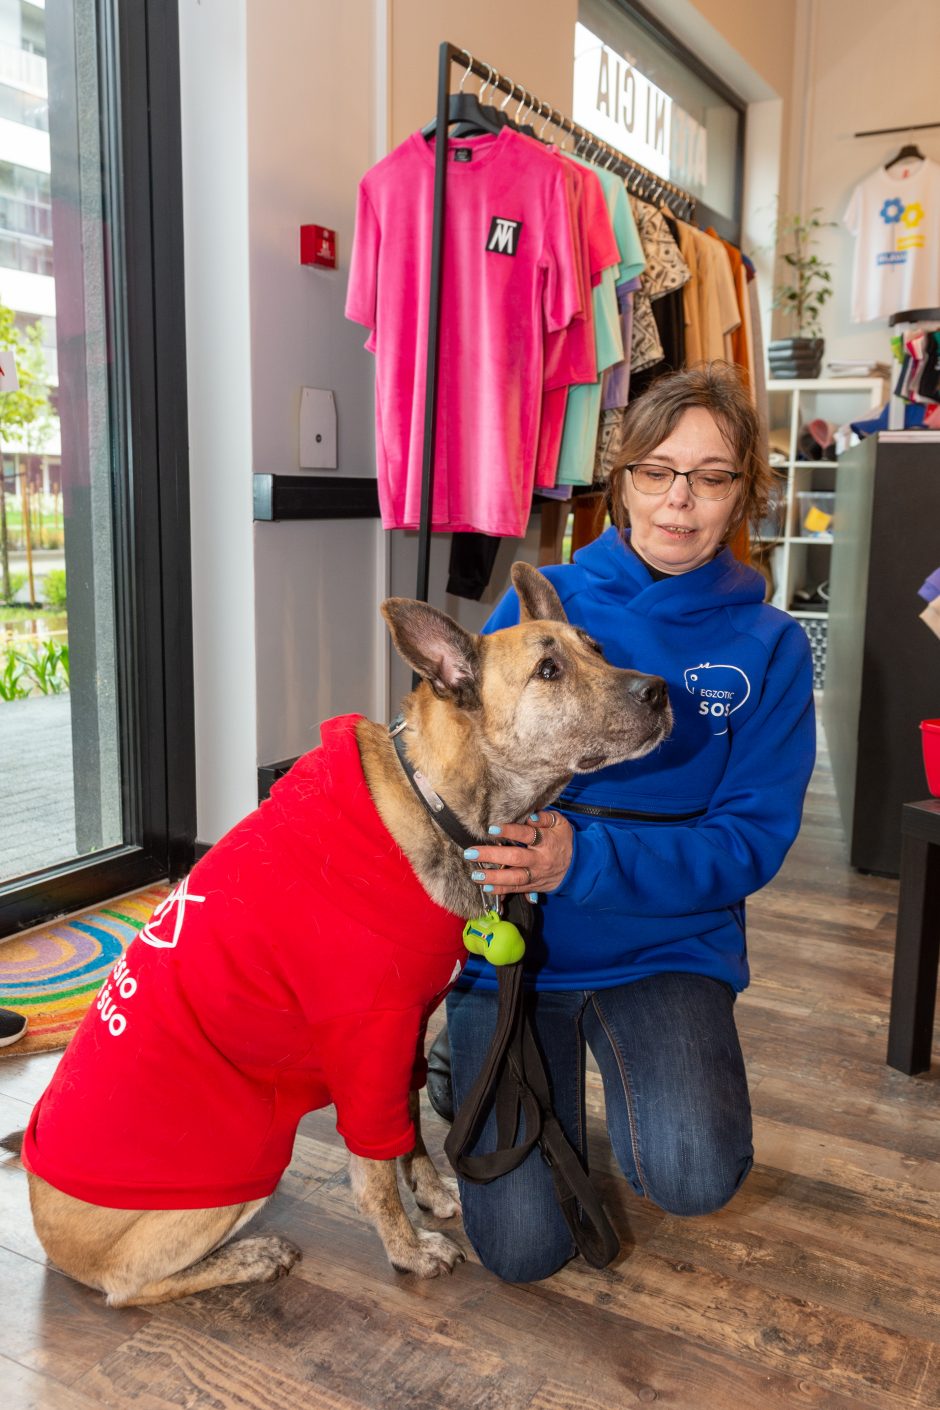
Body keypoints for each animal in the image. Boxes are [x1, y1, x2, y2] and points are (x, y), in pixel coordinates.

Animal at [5, 555, 668, 1302]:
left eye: (598, 649)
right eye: (548, 671)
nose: (661, 691)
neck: (435, 801)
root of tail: (45, 1222)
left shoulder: (405, 1035)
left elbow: (408, 1128)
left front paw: (432, 1192)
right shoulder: (367, 1040)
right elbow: (375, 1163)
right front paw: (408, 1249)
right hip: (240, 1169)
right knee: (127, 1285)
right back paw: (251, 1257)